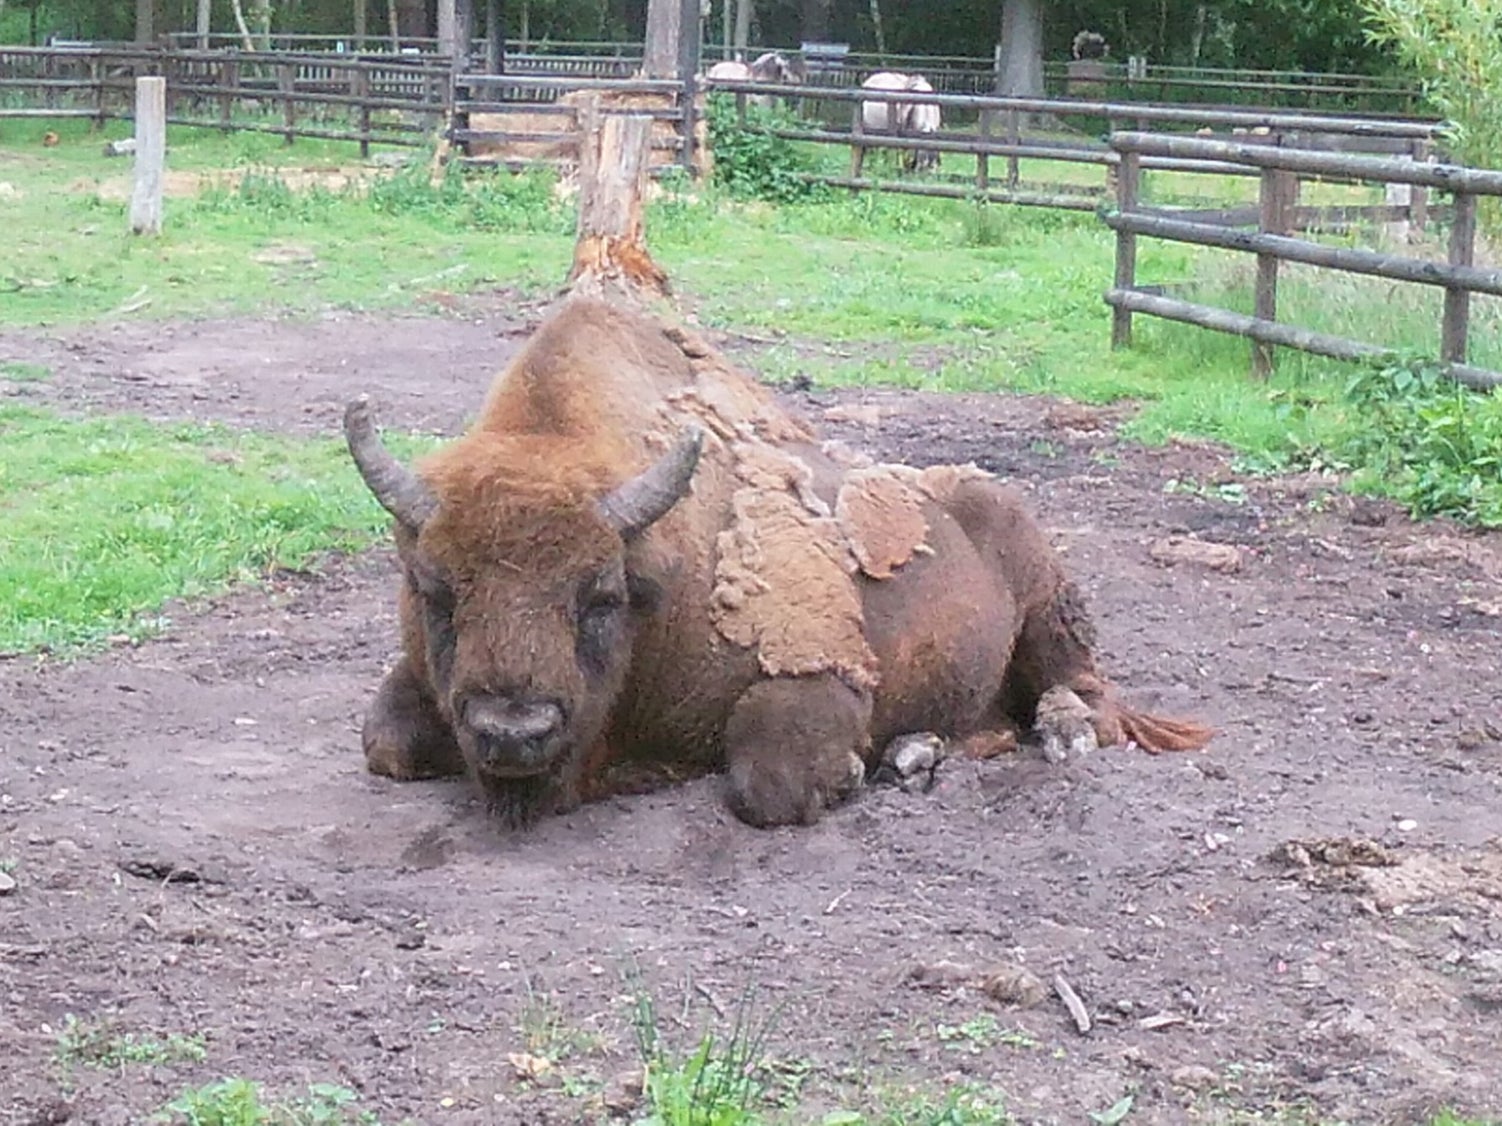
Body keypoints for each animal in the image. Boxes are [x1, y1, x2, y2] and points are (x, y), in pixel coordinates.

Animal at [343, 300, 1207, 828]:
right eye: (434, 591)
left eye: (601, 596)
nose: (512, 731)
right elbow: (384, 739)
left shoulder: (819, 672)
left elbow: (772, 780)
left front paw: (846, 773)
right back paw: (915, 754)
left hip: (1047, 605)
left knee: (1086, 698)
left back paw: (1055, 735)